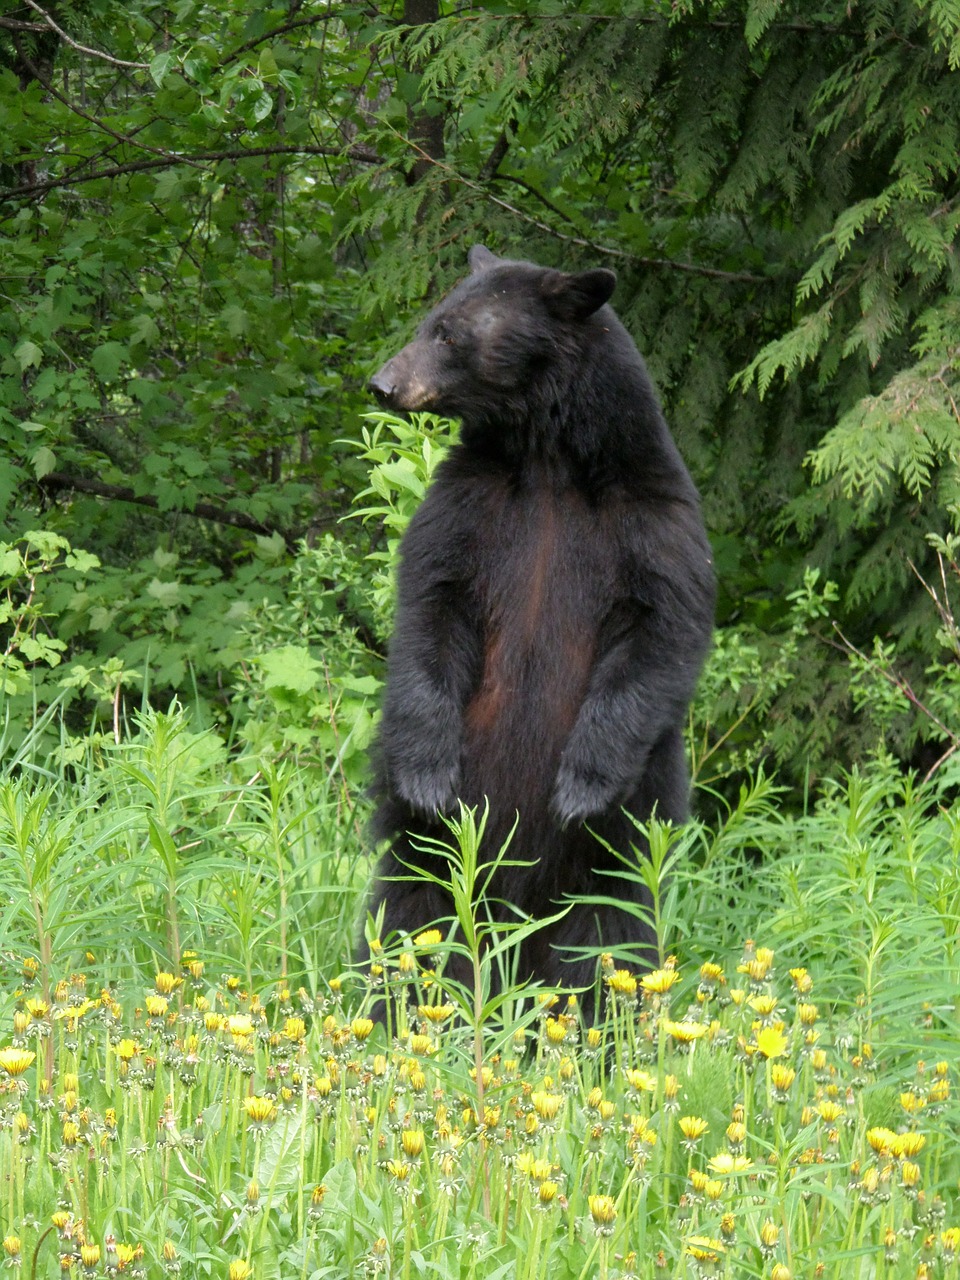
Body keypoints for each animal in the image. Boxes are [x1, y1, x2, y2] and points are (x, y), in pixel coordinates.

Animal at [368, 247, 716, 998]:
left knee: (605, 934)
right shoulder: (466, 506)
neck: (548, 457)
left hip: (616, 850)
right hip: (433, 847)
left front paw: (581, 784)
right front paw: (428, 772)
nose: (383, 383)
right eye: (430, 320)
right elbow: (430, 606)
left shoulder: (654, 519)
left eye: (448, 333)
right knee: (415, 910)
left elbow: (662, 632)